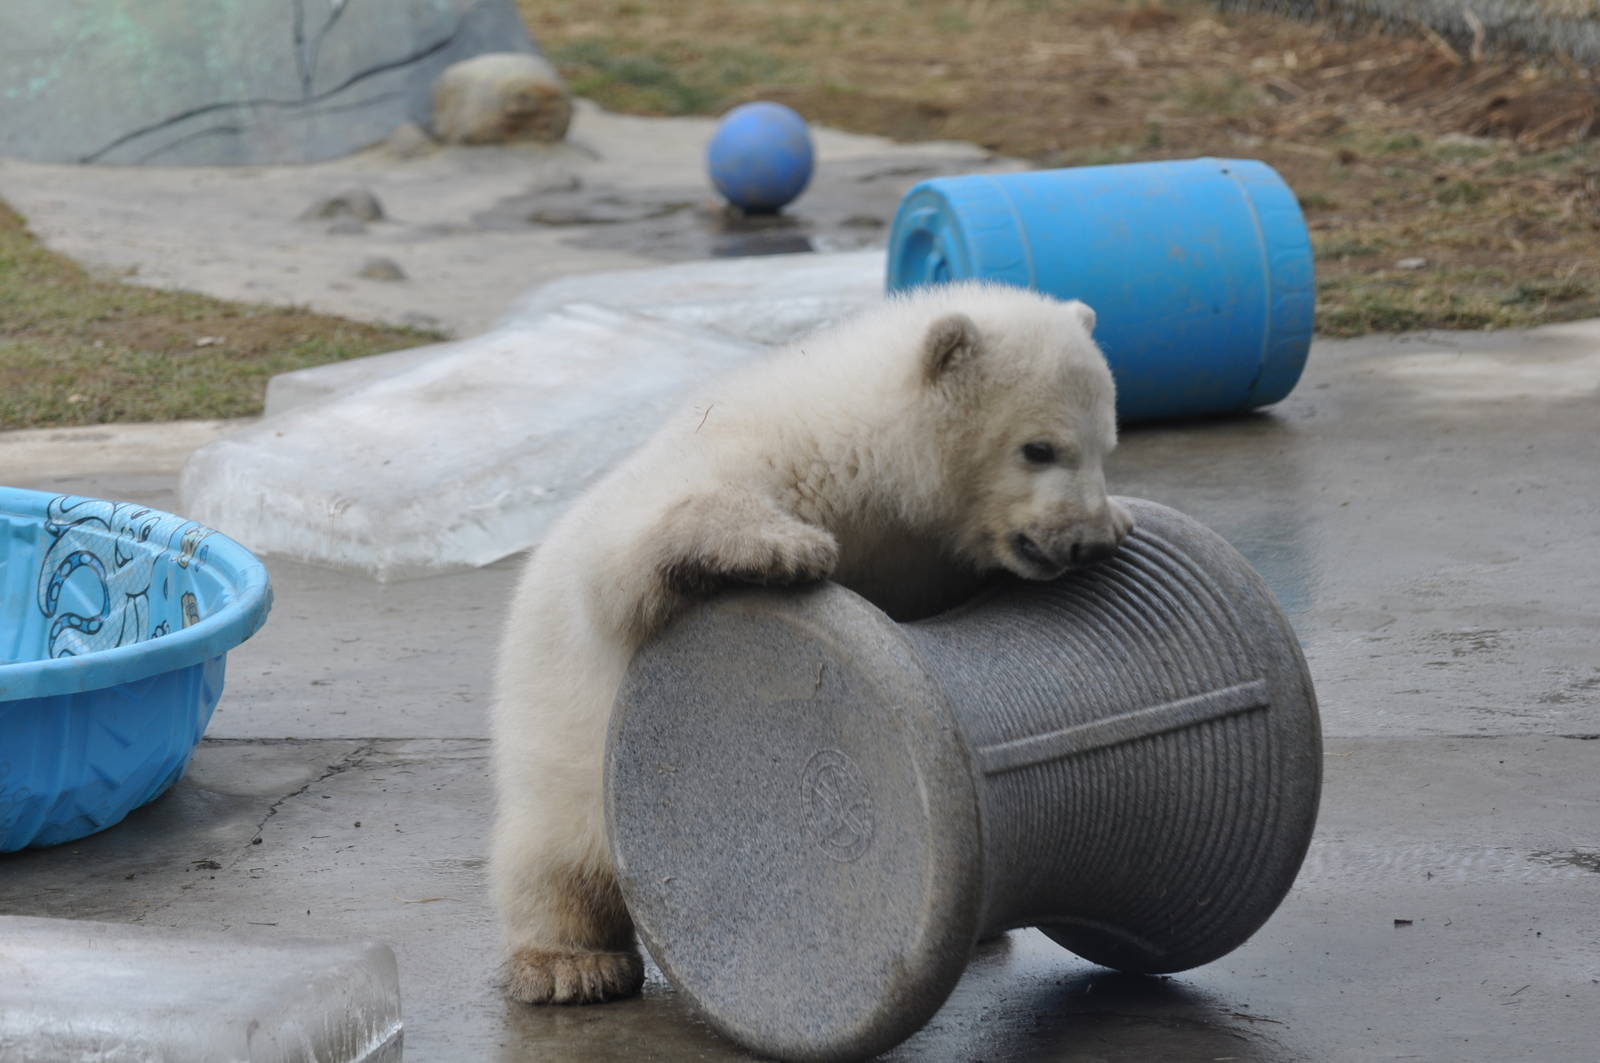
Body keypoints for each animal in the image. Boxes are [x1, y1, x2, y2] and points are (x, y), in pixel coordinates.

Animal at [489, 281, 1133, 1004]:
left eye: (1106, 445)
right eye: (1038, 448)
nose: (1087, 541)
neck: (864, 462)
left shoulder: (914, 554)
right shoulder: (744, 466)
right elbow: (635, 552)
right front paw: (787, 548)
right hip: (555, 739)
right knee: (554, 853)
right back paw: (570, 964)